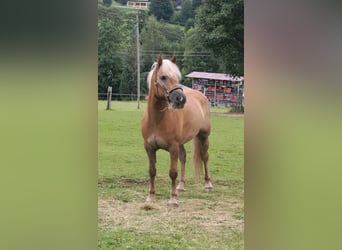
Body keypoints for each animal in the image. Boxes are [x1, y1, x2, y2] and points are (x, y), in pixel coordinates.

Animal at [140, 54, 212, 207]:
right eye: (163, 77)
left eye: (178, 77)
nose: (181, 99)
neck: (157, 120)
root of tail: (201, 96)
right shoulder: (149, 147)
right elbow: (152, 171)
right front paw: (151, 196)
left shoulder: (173, 147)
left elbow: (173, 172)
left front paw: (173, 199)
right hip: (181, 143)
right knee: (183, 157)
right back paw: (181, 186)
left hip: (204, 137)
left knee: (205, 157)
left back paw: (208, 184)